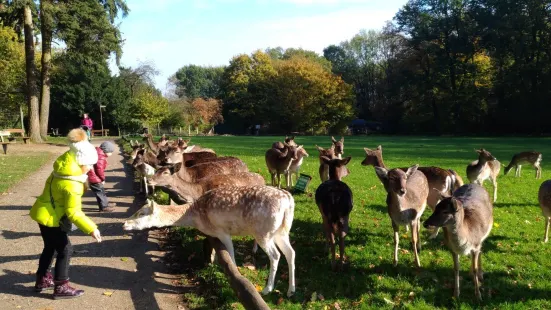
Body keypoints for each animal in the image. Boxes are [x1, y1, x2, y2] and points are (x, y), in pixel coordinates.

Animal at [124, 185, 298, 296]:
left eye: (141, 213)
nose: (124, 223)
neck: (197, 218)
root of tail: (288, 200)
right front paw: (213, 264)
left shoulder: (223, 231)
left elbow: (230, 257)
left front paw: (235, 277)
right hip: (281, 231)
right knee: (291, 252)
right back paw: (291, 290)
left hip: (263, 232)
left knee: (276, 255)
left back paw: (268, 289)